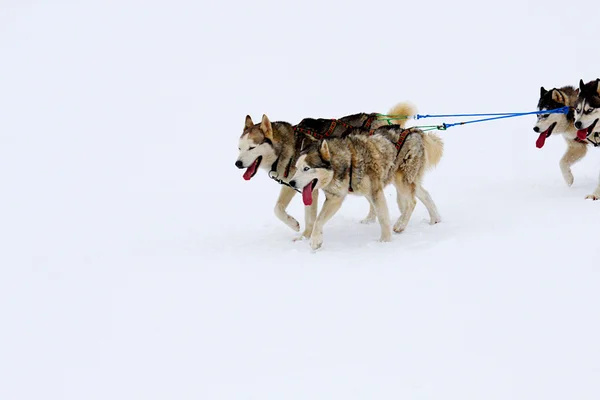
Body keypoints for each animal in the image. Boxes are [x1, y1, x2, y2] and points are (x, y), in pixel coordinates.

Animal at [234, 104, 426, 241]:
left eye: (252, 148)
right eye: (239, 148)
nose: (237, 163)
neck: (289, 146)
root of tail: (383, 118)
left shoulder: (310, 187)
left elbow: (309, 217)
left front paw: (304, 234)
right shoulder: (291, 183)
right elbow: (278, 208)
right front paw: (296, 226)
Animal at [288, 125, 442, 250]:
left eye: (306, 168)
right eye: (296, 168)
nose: (291, 183)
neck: (349, 161)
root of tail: (414, 131)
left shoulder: (375, 192)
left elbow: (383, 218)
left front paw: (385, 242)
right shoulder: (335, 198)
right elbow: (318, 220)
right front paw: (316, 241)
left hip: (402, 181)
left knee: (412, 202)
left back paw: (400, 224)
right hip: (404, 182)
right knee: (424, 194)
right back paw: (435, 219)